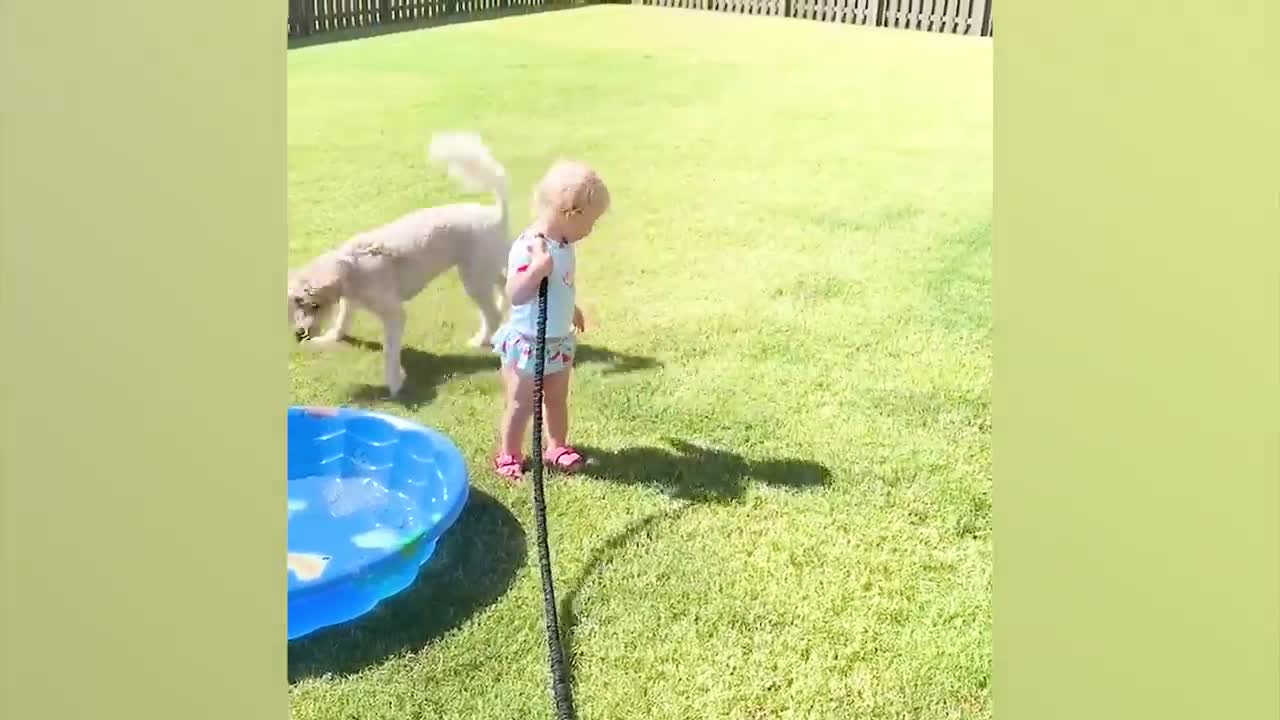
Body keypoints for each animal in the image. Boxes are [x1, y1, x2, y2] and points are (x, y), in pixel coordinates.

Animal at [290, 131, 509, 394]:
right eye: (297, 304)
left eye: (315, 305)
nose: (299, 334)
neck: (353, 266)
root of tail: (495, 213)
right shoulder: (350, 300)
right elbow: (343, 320)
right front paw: (331, 338)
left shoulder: (393, 313)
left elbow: (390, 350)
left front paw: (394, 380)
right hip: (487, 266)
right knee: (505, 285)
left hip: (474, 277)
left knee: (492, 314)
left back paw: (481, 340)